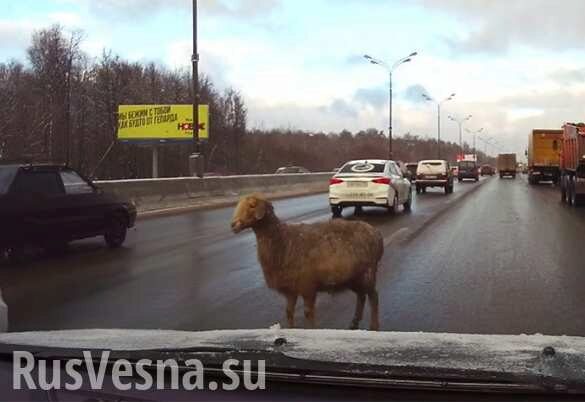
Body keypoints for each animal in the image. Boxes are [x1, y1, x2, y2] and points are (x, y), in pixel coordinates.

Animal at [233, 194, 384, 330]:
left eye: (252, 205)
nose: (233, 225)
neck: (283, 241)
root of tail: (375, 232)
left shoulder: (307, 285)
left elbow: (308, 313)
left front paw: (312, 329)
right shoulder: (291, 289)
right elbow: (289, 312)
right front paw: (291, 329)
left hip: (368, 272)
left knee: (374, 297)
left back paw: (374, 326)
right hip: (353, 277)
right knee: (361, 296)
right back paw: (354, 323)